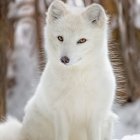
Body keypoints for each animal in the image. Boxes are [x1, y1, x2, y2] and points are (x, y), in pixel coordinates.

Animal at [0, 0, 117, 140]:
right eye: (60, 38)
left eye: (82, 40)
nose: (64, 59)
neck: (76, 80)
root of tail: (21, 131)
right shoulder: (60, 113)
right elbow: (61, 135)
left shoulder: (95, 114)